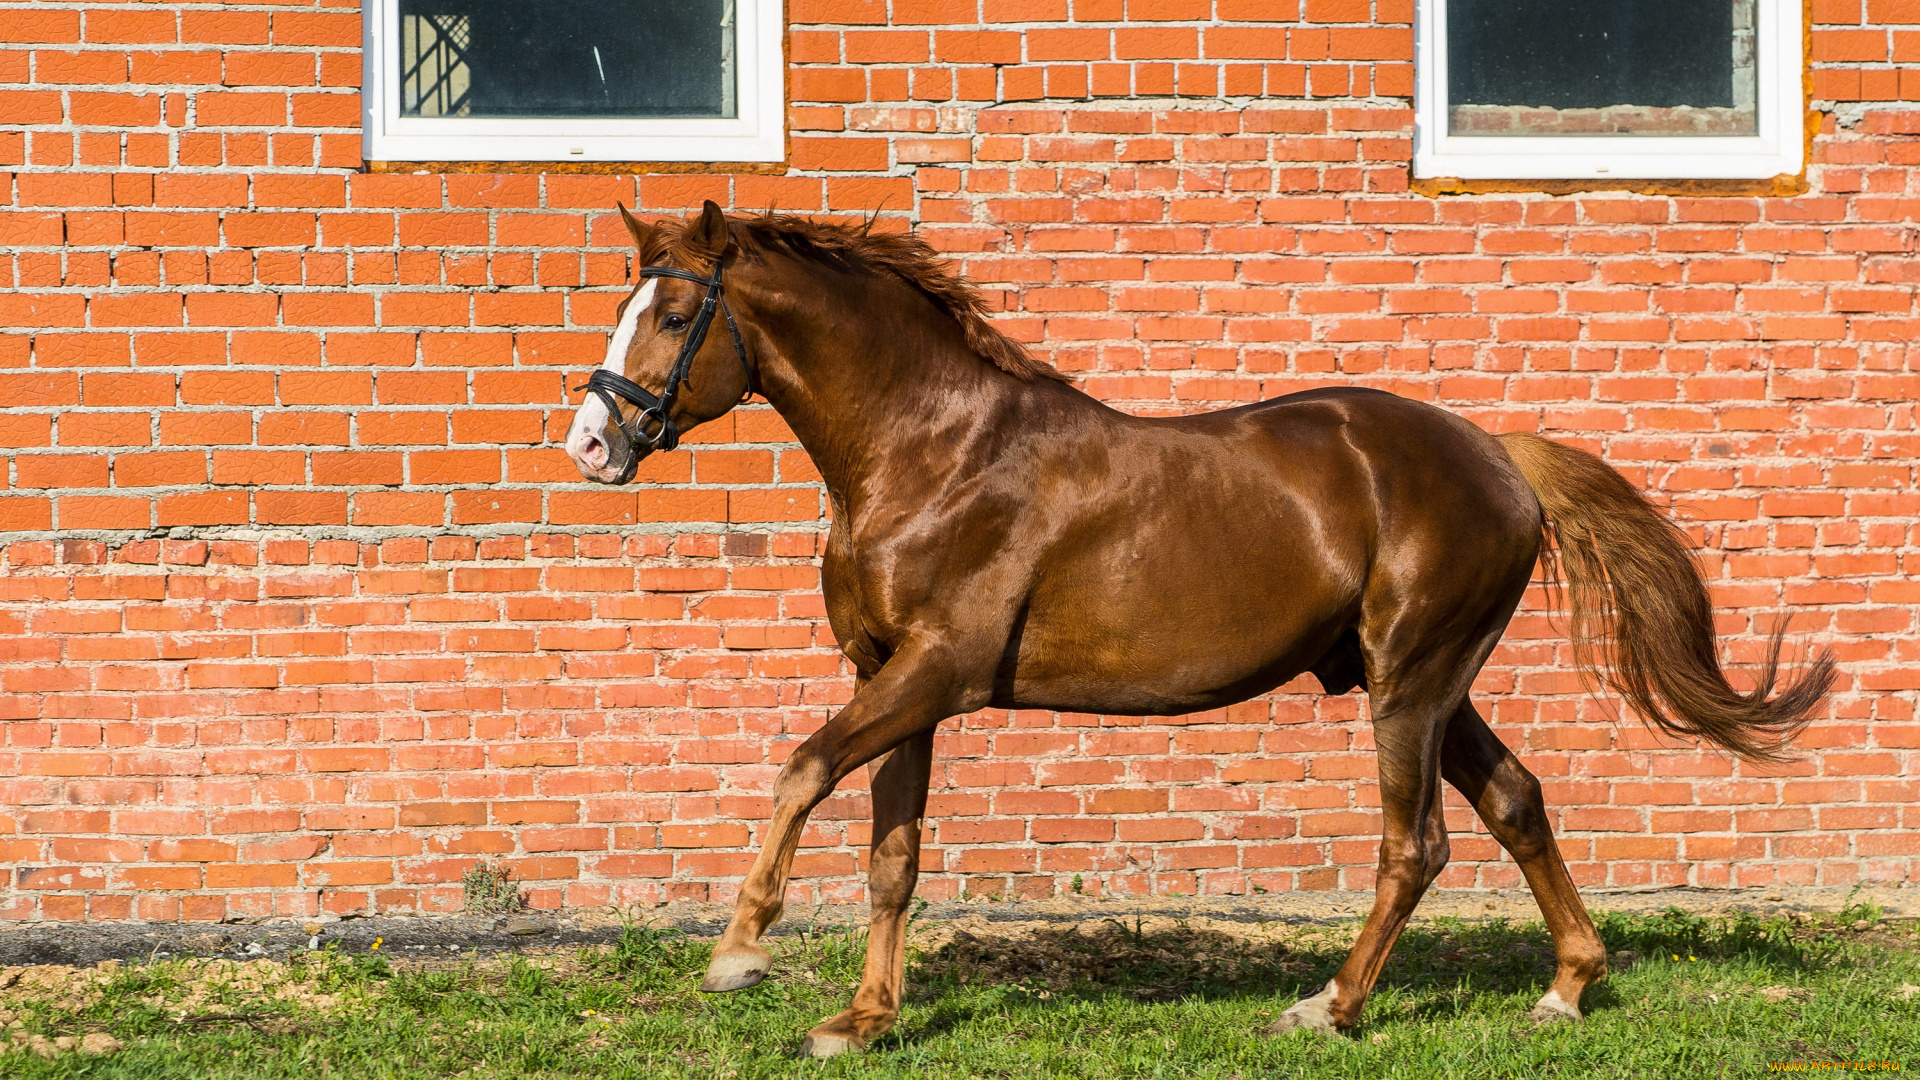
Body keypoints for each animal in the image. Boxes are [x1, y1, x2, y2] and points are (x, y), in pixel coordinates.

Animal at [556, 199, 1827, 1053]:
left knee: (1414, 846)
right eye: (626, 307)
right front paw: (861, 1021)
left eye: (677, 312)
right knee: (1515, 801)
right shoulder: (892, 677)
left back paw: (1331, 1007)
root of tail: (1497, 454)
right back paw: (1566, 988)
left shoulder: (934, 675)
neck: (933, 452)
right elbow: (891, 858)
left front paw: (739, 953)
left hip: (1411, 681)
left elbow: (800, 769)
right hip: (1430, 682)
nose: (592, 446)